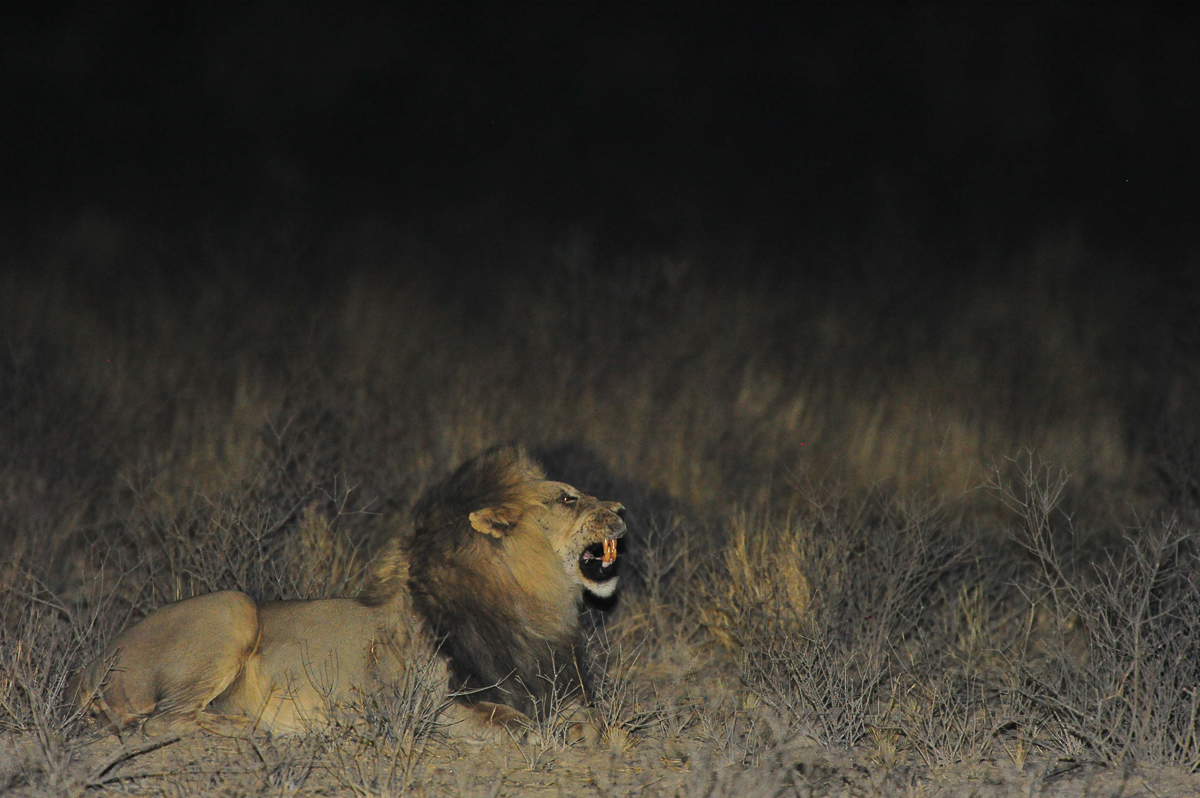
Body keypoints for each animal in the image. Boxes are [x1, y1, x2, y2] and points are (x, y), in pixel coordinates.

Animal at [69, 444, 626, 739]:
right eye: (568, 498)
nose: (621, 509)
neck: (531, 599)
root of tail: (91, 663)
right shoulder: (431, 704)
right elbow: (519, 724)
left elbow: (592, 717)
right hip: (233, 606)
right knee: (163, 721)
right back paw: (255, 727)